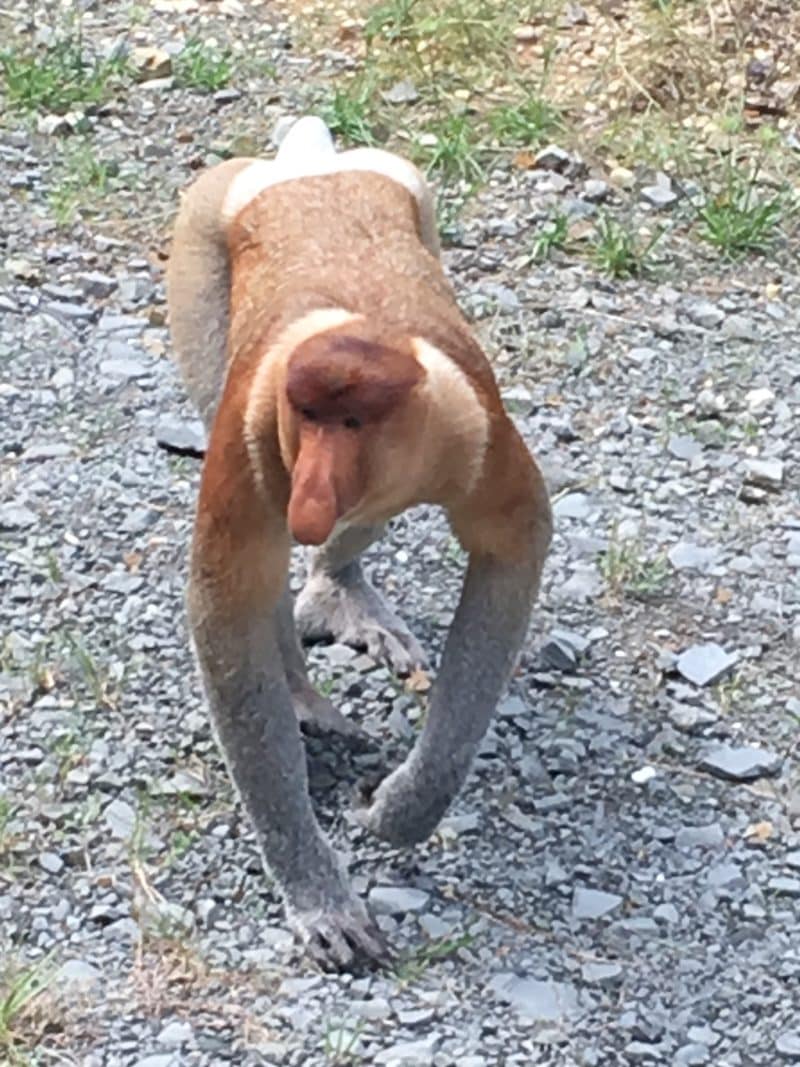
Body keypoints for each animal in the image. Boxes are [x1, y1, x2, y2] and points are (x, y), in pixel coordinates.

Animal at [166, 116, 552, 971]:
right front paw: (322, 898)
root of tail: (308, 169)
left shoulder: (473, 436)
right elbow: (227, 605)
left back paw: (340, 591)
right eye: (306, 417)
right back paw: (306, 697)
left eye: (348, 423)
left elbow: (514, 548)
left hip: (417, 192)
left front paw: (400, 808)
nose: (314, 486)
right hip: (203, 226)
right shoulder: (253, 442)